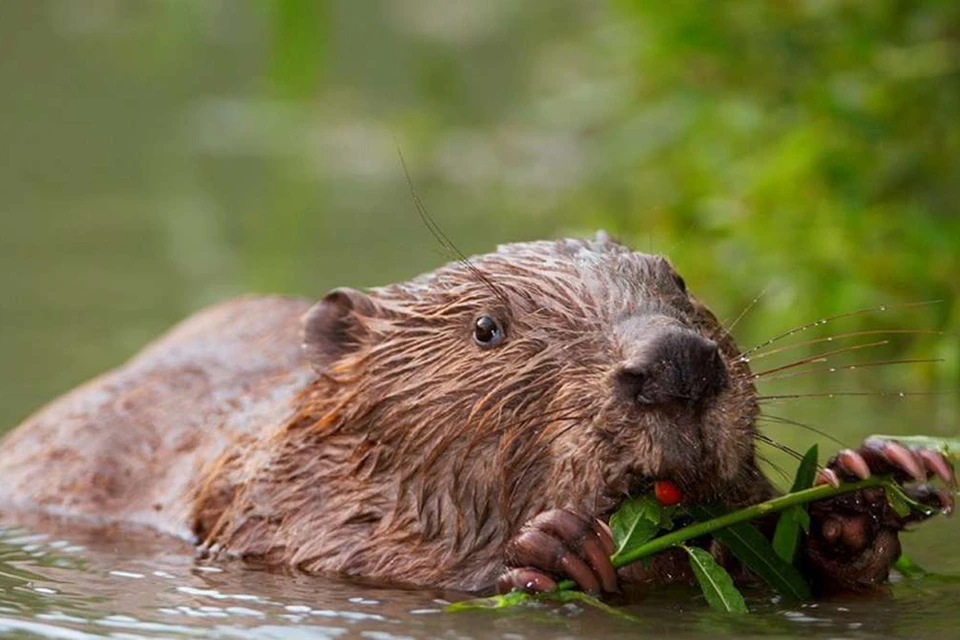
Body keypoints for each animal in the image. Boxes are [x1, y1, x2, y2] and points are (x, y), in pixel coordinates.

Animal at [0, 234, 952, 596]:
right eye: (488, 328)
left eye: (677, 281)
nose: (677, 364)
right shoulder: (269, 503)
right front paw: (554, 551)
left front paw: (866, 484)